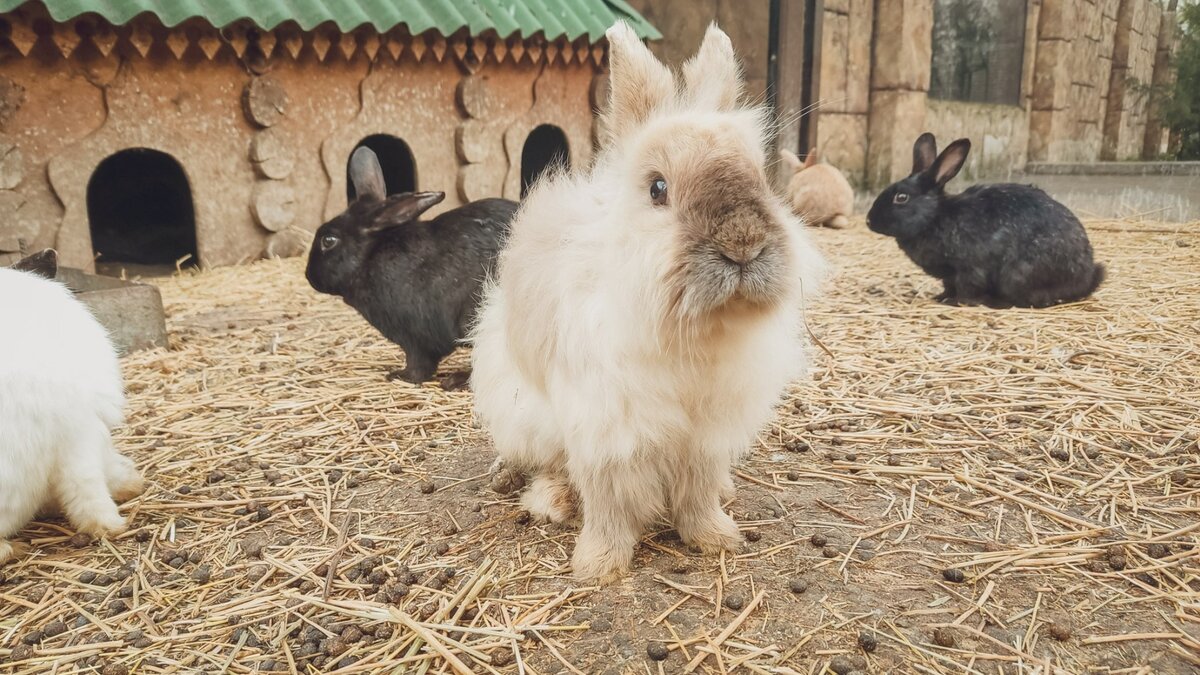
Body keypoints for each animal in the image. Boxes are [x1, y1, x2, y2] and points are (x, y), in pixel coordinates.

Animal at [304, 149, 516, 386]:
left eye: (328, 240)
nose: (309, 276)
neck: (370, 258)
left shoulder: (415, 339)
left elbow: (419, 365)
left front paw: (399, 375)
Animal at [468, 21, 825, 578]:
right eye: (658, 188)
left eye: (761, 180)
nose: (743, 244)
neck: (695, 330)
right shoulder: (606, 431)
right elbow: (608, 503)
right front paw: (598, 565)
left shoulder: (705, 438)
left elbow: (698, 494)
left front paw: (717, 539)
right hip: (528, 418)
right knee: (549, 468)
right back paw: (553, 502)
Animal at [864, 132, 1104, 306]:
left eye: (901, 197)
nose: (868, 221)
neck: (935, 217)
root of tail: (1086, 276)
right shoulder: (948, 276)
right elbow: (948, 286)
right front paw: (941, 297)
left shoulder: (970, 269)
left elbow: (966, 287)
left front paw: (955, 302)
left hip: (1018, 274)